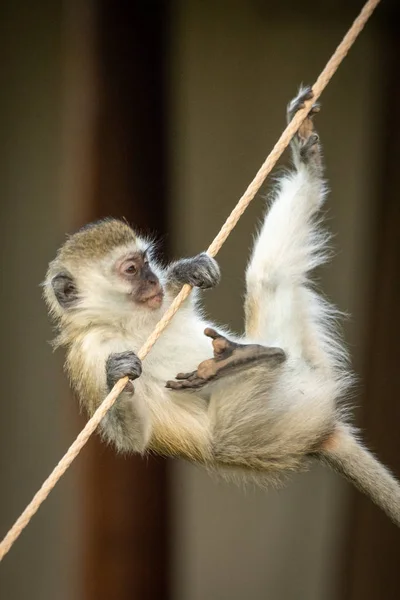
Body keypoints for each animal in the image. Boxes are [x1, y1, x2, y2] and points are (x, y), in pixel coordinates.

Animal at [43, 88, 400, 524]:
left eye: (146, 262)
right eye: (130, 270)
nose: (152, 281)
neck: (126, 323)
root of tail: (321, 431)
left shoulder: (159, 307)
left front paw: (186, 270)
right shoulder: (91, 353)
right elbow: (133, 437)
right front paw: (117, 377)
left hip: (302, 365)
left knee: (266, 275)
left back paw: (306, 167)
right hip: (260, 427)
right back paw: (242, 360)